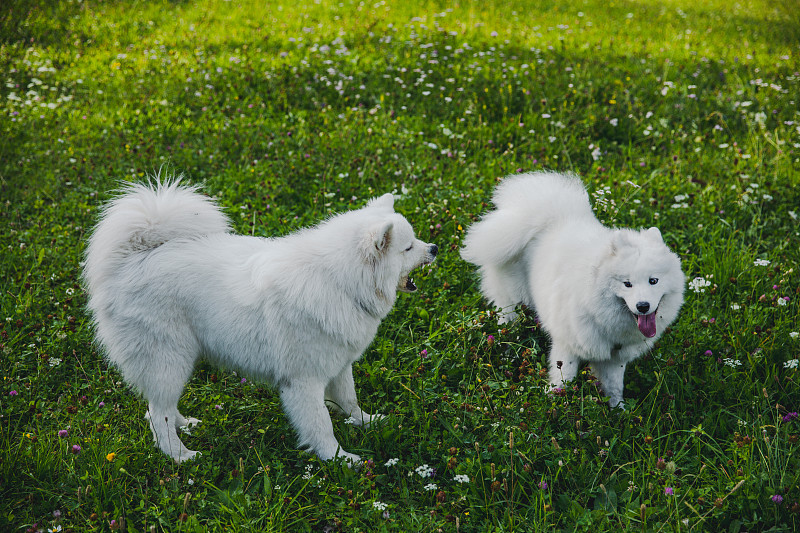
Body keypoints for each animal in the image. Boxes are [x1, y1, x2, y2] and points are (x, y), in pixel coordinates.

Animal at [83, 179, 438, 462]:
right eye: (408, 247)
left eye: (415, 242)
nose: (435, 247)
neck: (340, 282)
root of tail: (134, 258)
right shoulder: (303, 381)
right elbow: (321, 424)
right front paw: (340, 459)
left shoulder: (338, 365)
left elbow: (349, 401)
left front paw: (368, 422)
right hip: (169, 359)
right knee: (157, 415)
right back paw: (181, 456)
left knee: (162, 409)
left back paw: (188, 425)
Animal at [460, 172, 684, 406]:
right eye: (627, 283)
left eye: (653, 281)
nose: (643, 306)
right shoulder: (566, 345)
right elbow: (563, 380)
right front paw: (554, 404)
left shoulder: (614, 358)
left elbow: (614, 388)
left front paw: (618, 410)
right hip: (511, 304)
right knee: (507, 329)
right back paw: (506, 353)